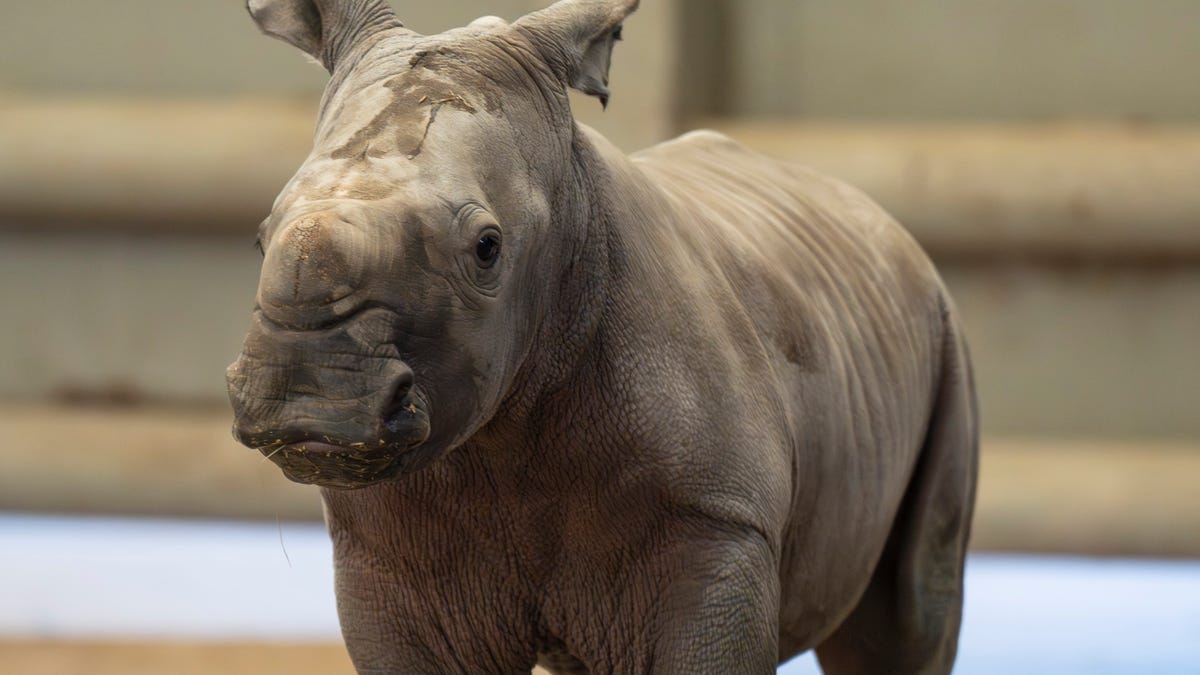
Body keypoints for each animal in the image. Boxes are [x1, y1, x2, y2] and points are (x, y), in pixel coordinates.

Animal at [226, 0, 979, 672]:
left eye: (488, 248)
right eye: (261, 235)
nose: (308, 391)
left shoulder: (715, 525)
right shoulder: (388, 558)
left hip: (944, 333)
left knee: (905, 622)